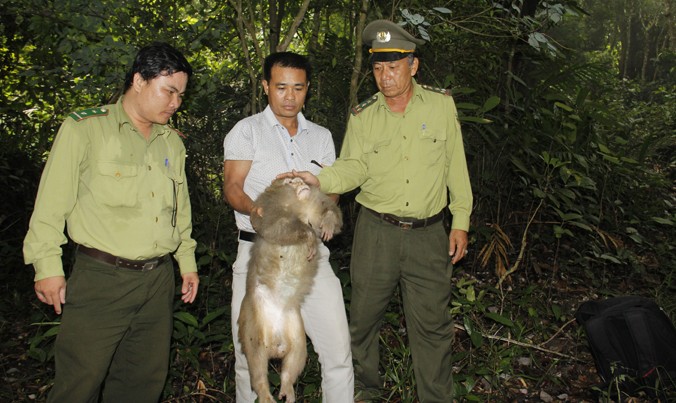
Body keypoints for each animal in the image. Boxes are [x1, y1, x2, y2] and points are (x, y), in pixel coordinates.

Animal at [239, 178, 344, 403]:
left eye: (301, 179)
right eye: (289, 181)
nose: (300, 182)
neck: (299, 207)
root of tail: (274, 345)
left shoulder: (315, 203)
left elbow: (330, 211)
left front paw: (328, 222)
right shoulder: (269, 208)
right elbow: (274, 226)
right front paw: (309, 237)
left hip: (293, 326)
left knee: (296, 354)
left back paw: (287, 386)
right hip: (252, 322)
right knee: (256, 360)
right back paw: (264, 393)